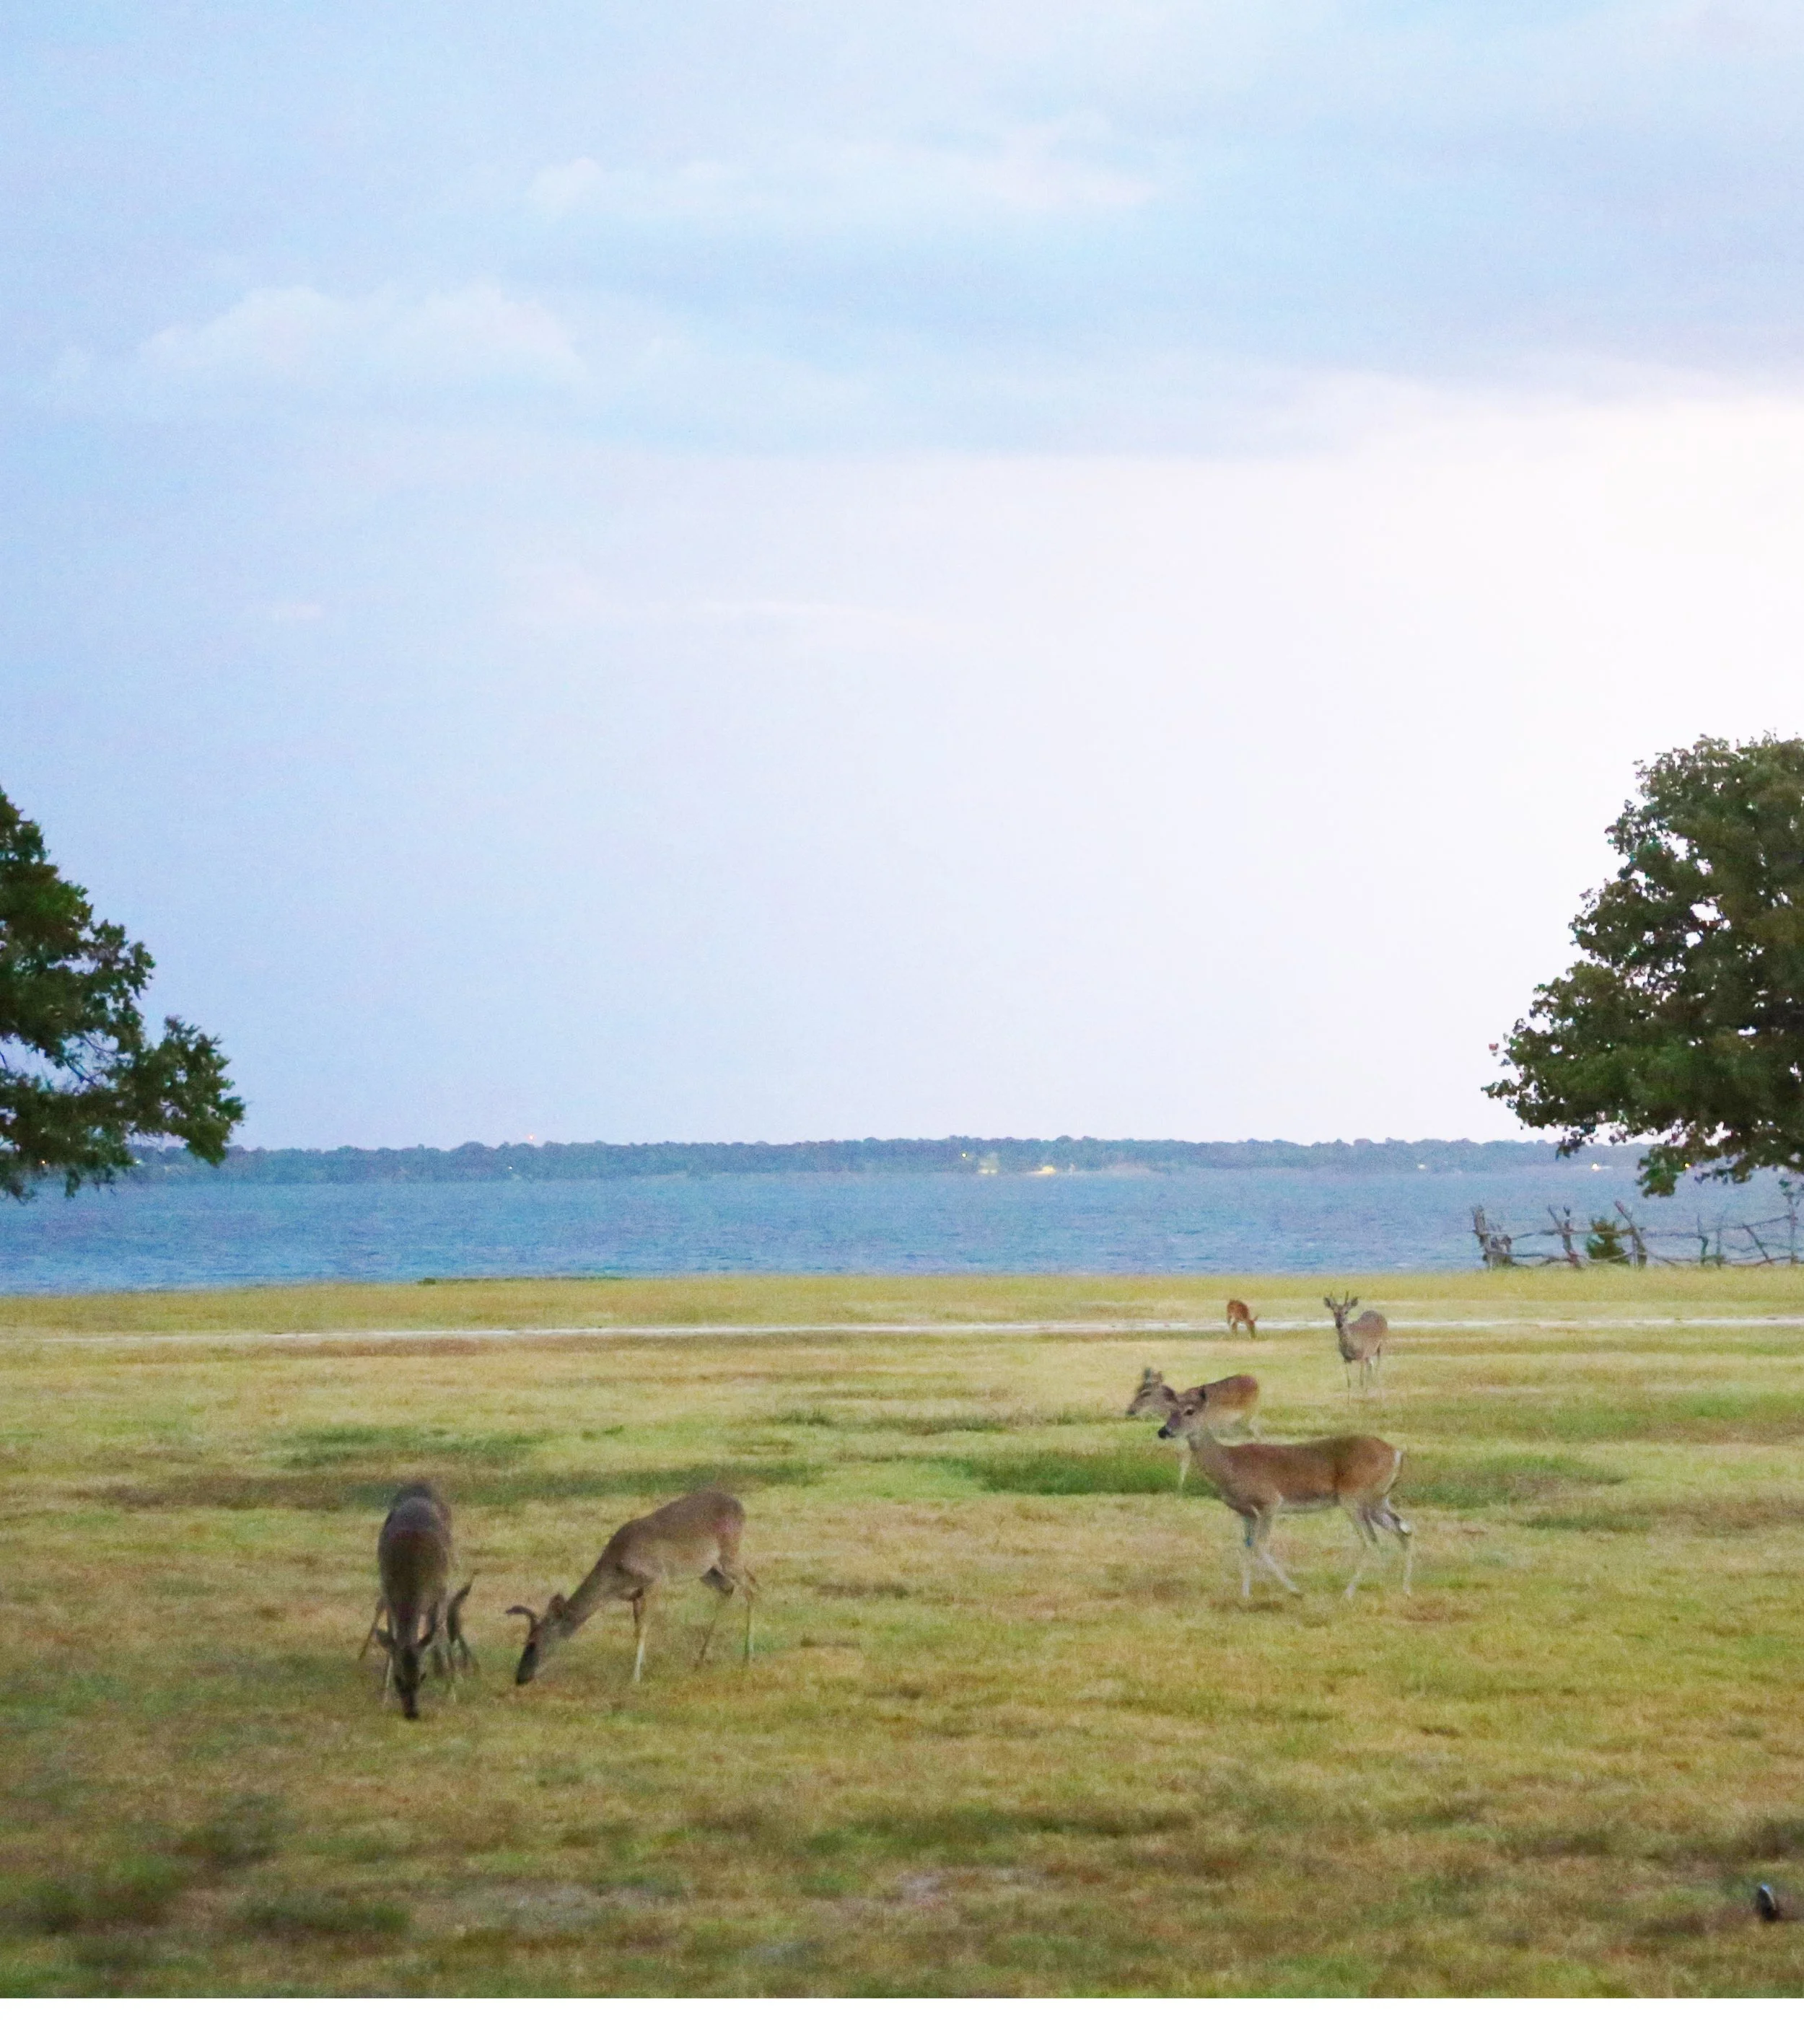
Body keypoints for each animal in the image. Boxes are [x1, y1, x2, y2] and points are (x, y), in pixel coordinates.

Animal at [361, 1482, 474, 1719]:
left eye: (422, 1676)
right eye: (398, 1678)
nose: (412, 1713)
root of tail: (421, 1483)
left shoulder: (440, 1591)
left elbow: (439, 1632)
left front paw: (451, 1691)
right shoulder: (390, 1594)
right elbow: (392, 1636)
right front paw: (384, 1696)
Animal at [508, 1488, 757, 1688]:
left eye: (532, 1643)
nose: (520, 1678)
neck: (616, 1575)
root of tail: (741, 1506)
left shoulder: (657, 1580)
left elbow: (644, 1627)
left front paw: (635, 1677)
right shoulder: (635, 1594)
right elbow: (637, 1628)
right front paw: (640, 1665)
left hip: (729, 1552)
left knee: (751, 1587)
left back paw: (747, 1656)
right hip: (706, 1570)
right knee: (729, 1588)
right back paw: (701, 1658)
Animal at [1126, 1365, 1259, 1489]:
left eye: (1146, 1393)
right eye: (1136, 1390)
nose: (1130, 1410)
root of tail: (1255, 1381)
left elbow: (1186, 1459)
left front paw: (1181, 1487)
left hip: (1246, 1418)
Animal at [1158, 1384, 1412, 1600]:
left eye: (1189, 1411)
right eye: (1169, 1410)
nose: (1164, 1431)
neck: (1229, 1466)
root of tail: (1396, 1453)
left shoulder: (1270, 1501)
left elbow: (1260, 1546)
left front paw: (1295, 1590)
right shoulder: (1245, 1512)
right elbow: (1246, 1548)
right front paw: (1245, 1595)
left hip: (1354, 1497)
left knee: (1371, 1540)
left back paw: (1348, 1593)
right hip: (1378, 1500)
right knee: (1404, 1530)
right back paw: (1404, 1588)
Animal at [1324, 1293, 1389, 1394]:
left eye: (1346, 1312)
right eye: (1334, 1312)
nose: (1339, 1324)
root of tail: (1378, 1314)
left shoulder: (1362, 1355)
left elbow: (1361, 1381)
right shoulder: (1346, 1359)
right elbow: (1349, 1382)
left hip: (1382, 1345)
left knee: (1378, 1366)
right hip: (1369, 1353)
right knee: (1371, 1365)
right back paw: (1369, 1387)